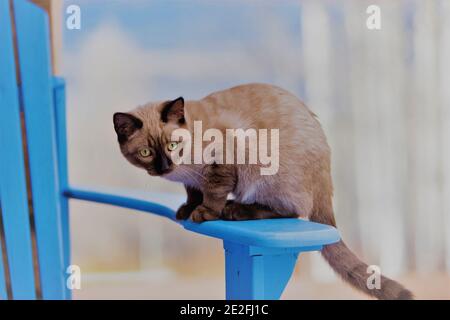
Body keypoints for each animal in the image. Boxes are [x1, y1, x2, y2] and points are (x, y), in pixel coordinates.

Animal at [113, 82, 414, 300]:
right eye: (146, 152)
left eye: (173, 145)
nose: (165, 167)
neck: (184, 166)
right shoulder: (192, 180)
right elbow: (193, 193)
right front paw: (186, 209)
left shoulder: (221, 163)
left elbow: (213, 193)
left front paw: (204, 213)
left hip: (263, 173)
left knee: (290, 210)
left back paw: (234, 209)